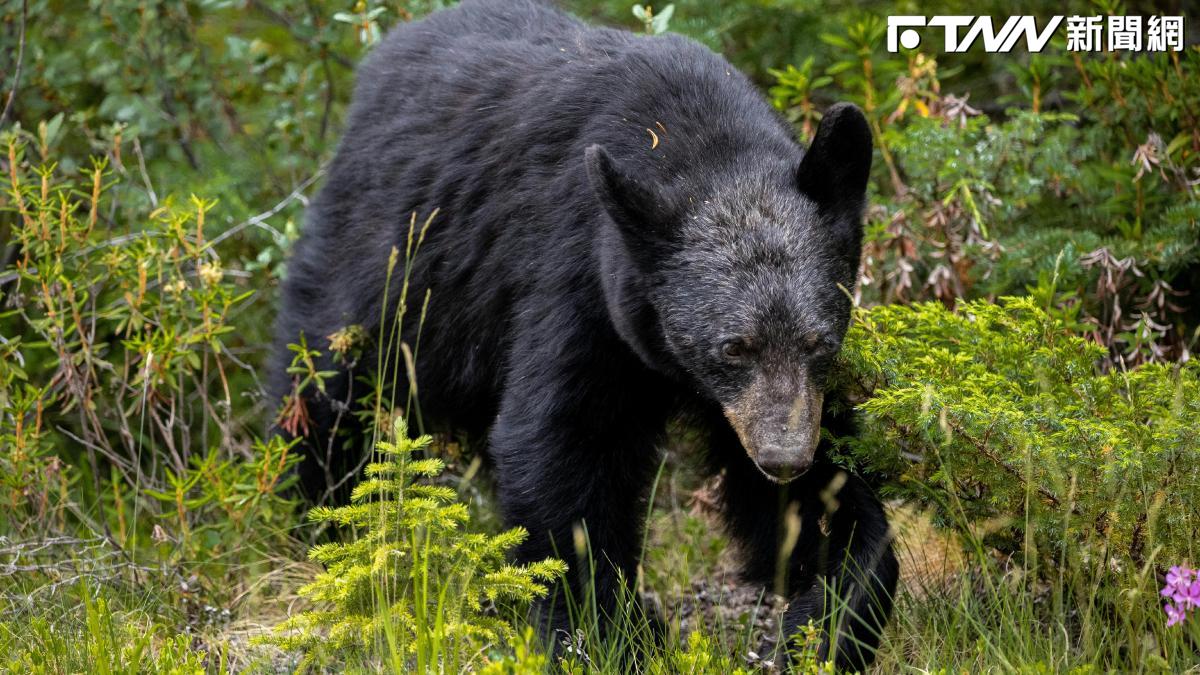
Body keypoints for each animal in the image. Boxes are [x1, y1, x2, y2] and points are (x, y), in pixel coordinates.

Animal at [270, 0, 898, 669]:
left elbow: (818, 500)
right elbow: (564, 444)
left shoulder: (767, 400)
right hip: (385, 267)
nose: (784, 458)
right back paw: (324, 522)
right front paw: (608, 634)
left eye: (819, 343)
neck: (697, 139)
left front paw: (824, 621)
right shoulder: (578, 280)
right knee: (324, 391)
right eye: (733, 346)